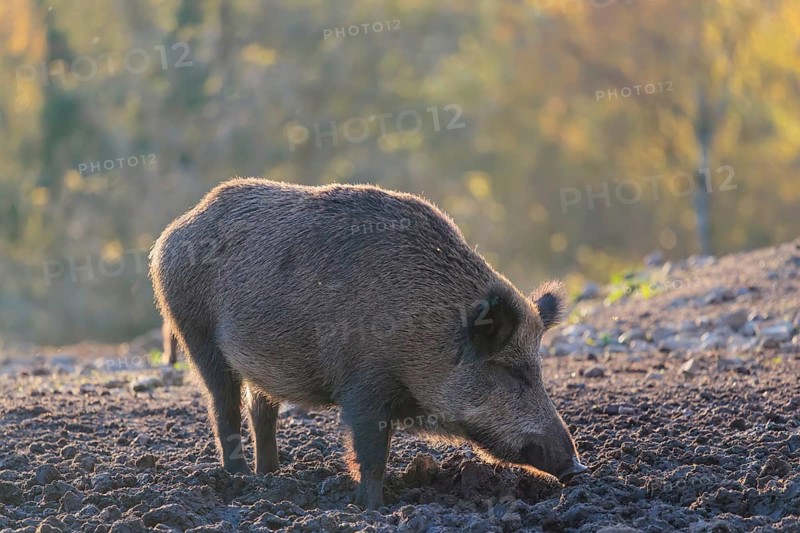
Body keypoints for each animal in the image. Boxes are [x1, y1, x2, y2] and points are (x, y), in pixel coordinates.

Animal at [149, 178, 588, 508]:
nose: (577, 468)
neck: (425, 331)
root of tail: (172, 232)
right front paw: (374, 507)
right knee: (223, 405)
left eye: (539, 371)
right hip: (196, 334)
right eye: (511, 371)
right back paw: (241, 479)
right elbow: (371, 452)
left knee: (262, 410)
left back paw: (271, 474)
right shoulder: (365, 386)